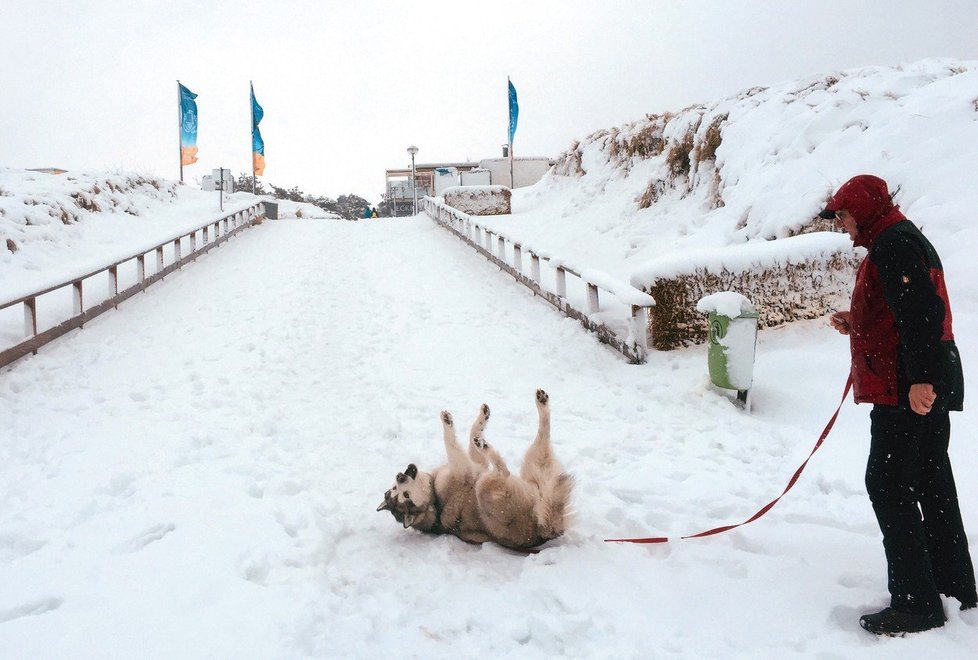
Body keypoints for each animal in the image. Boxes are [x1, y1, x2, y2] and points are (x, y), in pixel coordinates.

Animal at [376, 390, 572, 548]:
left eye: (396, 489)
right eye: (405, 496)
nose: (400, 476)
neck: (432, 497)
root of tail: (541, 532)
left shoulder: (474, 464)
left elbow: (471, 434)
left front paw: (482, 418)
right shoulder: (465, 470)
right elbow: (450, 442)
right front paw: (448, 425)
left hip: (534, 464)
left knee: (543, 432)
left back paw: (541, 403)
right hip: (486, 487)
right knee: (503, 471)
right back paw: (486, 447)